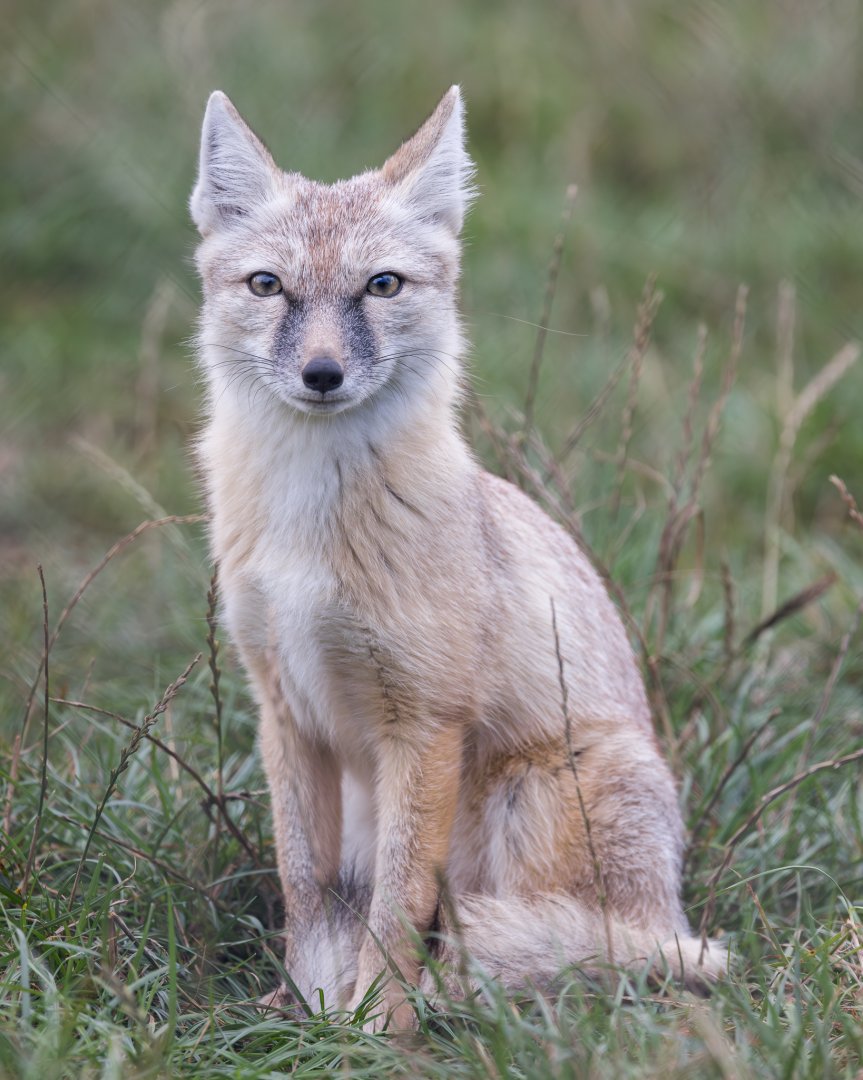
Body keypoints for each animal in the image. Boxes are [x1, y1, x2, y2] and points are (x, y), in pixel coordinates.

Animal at [189, 85, 725, 1031]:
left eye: (381, 285)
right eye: (267, 286)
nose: (321, 373)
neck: (308, 529)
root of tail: (667, 919)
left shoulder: (424, 722)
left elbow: (398, 902)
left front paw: (374, 1026)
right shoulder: (284, 711)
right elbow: (304, 886)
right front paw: (306, 1003)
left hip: (531, 796)